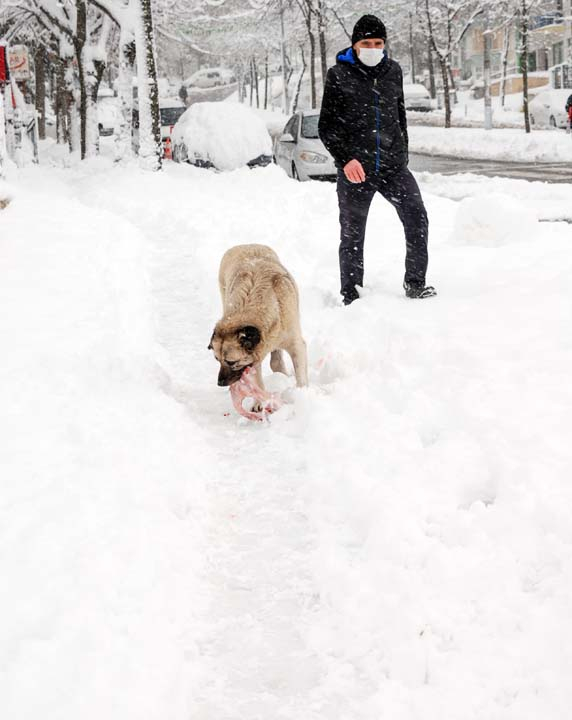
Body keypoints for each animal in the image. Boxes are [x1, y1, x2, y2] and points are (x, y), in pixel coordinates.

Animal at [209, 243, 308, 390]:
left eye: (231, 362)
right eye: (217, 359)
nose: (220, 383)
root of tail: (246, 245)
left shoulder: (295, 343)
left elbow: (300, 372)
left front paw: (302, 391)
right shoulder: (254, 361)